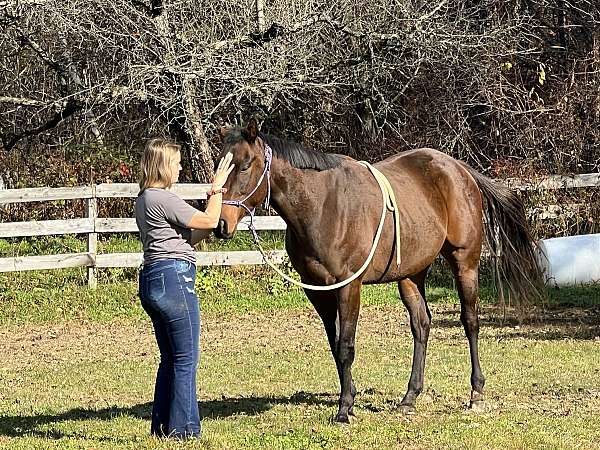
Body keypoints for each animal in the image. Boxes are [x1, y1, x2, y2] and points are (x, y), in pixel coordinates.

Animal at [213, 118, 540, 422]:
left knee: (470, 321)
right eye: (220, 165)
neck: (321, 205)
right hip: (410, 274)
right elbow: (335, 345)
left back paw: (476, 393)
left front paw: (345, 409)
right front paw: (350, 397)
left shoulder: (348, 285)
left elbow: (346, 346)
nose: (221, 224)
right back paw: (410, 396)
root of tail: (460, 169)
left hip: (465, 262)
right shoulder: (317, 291)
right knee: (421, 325)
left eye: (245, 166)